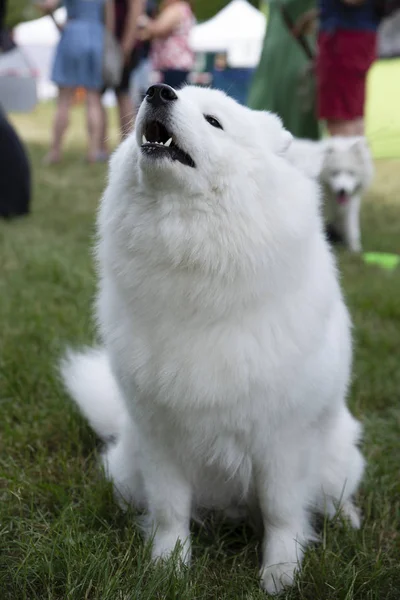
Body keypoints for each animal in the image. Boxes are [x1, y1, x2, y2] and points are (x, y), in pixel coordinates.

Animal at [60, 84, 366, 596]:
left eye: (213, 121)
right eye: (170, 92)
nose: (157, 90)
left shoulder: (282, 438)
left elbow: (282, 513)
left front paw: (280, 573)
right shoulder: (159, 431)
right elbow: (169, 511)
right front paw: (168, 567)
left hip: (337, 449)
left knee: (332, 491)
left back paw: (348, 519)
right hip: (128, 464)